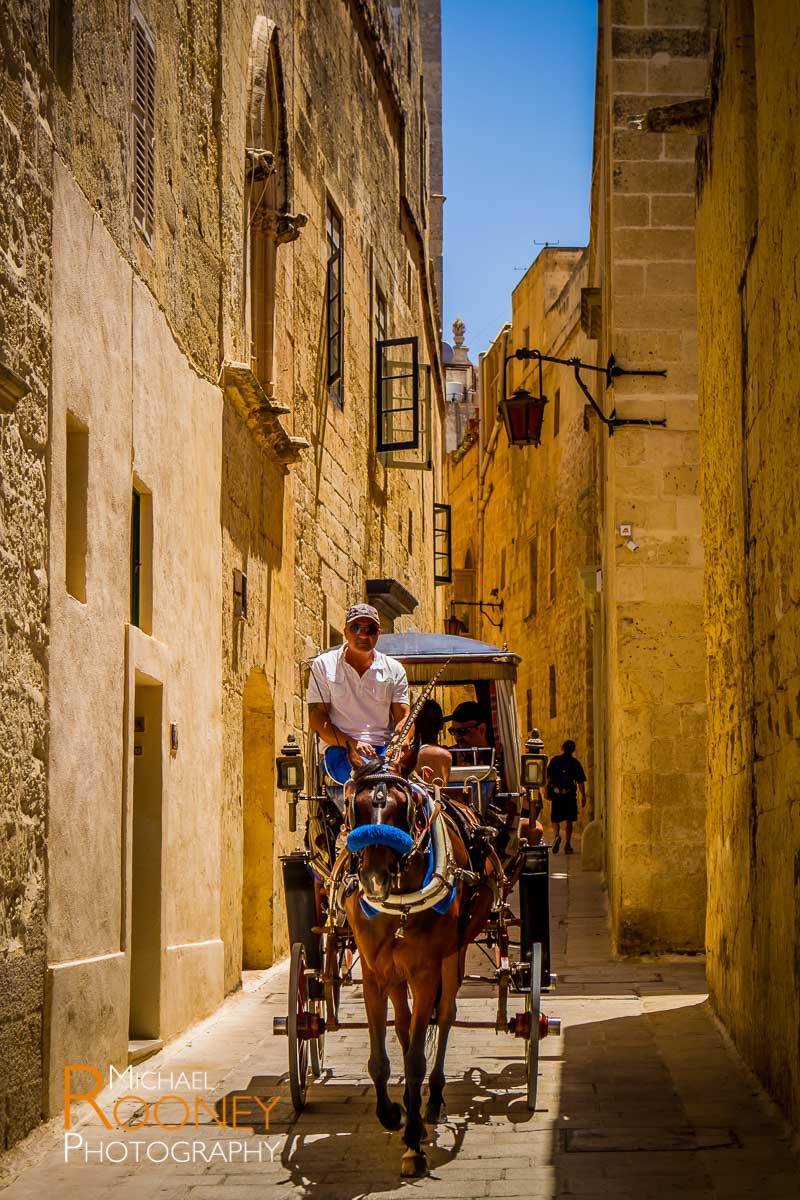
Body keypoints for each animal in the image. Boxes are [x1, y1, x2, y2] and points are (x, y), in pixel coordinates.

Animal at [345, 758, 494, 1171]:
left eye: (403, 809)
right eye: (355, 805)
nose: (373, 879)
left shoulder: (426, 971)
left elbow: (415, 1060)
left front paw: (413, 1142)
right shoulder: (373, 972)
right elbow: (381, 1058)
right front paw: (391, 1114)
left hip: (452, 956)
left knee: (444, 1017)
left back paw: (435, 1099)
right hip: (396, 974)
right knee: (405, 1025)